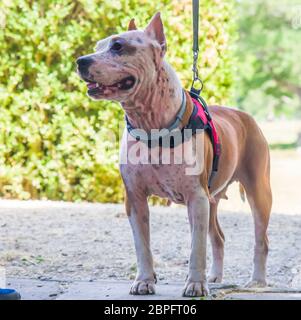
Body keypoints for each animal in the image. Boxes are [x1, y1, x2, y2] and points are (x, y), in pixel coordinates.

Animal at [76, 12, 270, 298]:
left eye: (118, 46)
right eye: (98, 45)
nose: (81, 61)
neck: (150, 125)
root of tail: (245, 116)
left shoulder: (196, 199)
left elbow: (196, 248)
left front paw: (196, 284)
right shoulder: (135, 199)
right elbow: (142, 246)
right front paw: (144, 280)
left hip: (258, 193)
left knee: (260, 240)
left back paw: (256, 280)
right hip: (212, 200)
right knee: (218, 237)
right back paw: (215, 276)